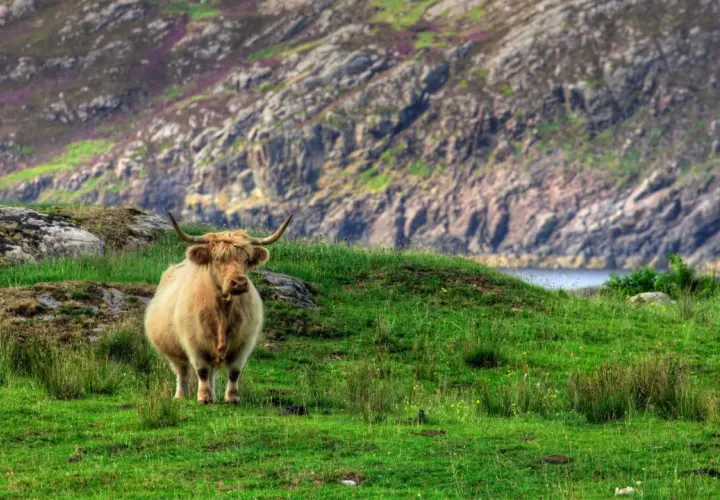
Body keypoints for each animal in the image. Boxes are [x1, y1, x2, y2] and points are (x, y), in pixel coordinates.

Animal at [144, 212, 293, 404]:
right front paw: (203, 397)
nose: (239, 282)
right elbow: (201, 370)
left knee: (211, 371)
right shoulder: (193, 342)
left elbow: (234, 372)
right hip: (173, 350)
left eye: (246, 260)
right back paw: (181, 395)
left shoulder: (243, 343)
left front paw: (232, 397)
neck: (222, 311)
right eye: (218, 258)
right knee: (182, 371)